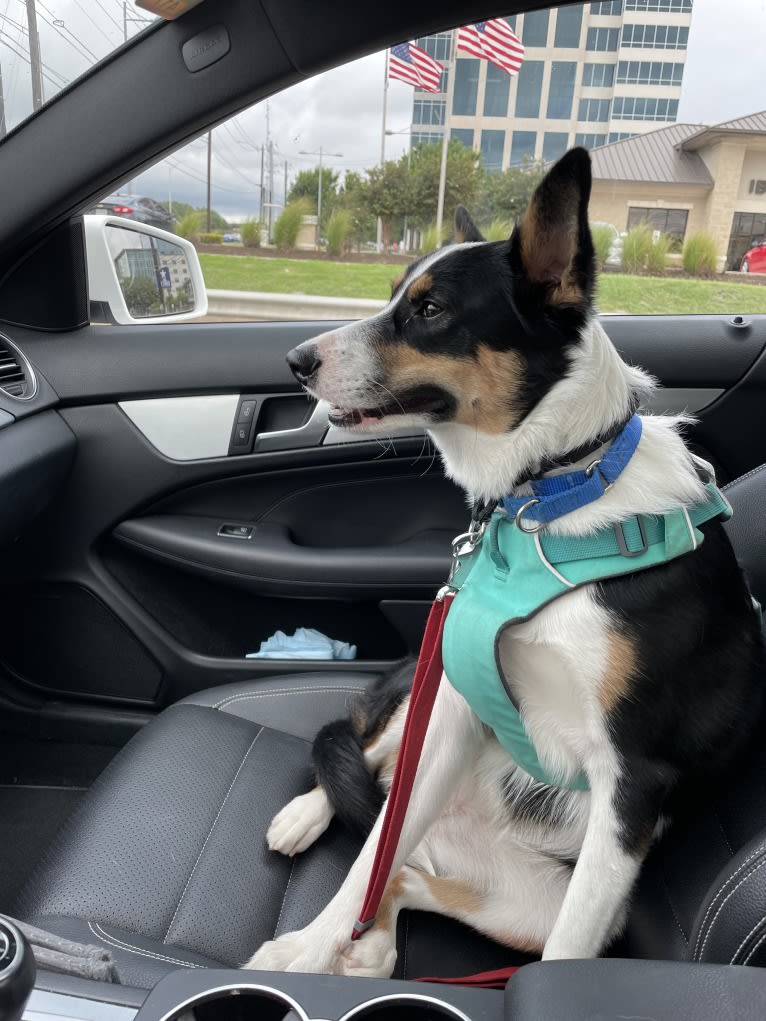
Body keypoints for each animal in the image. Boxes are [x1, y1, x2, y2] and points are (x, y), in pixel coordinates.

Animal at [249, 148, 763, 976]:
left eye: (430, 310)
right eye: (394, 296)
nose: (295, 360)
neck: (553, 497)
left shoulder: (630, 783)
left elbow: (563, 953)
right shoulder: (453, 703)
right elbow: (361, 867)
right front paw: (305, 944)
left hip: (528, 899)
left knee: (406, 874)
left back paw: (373, 948)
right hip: (421, 716)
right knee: (374, 809)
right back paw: (309, 833)